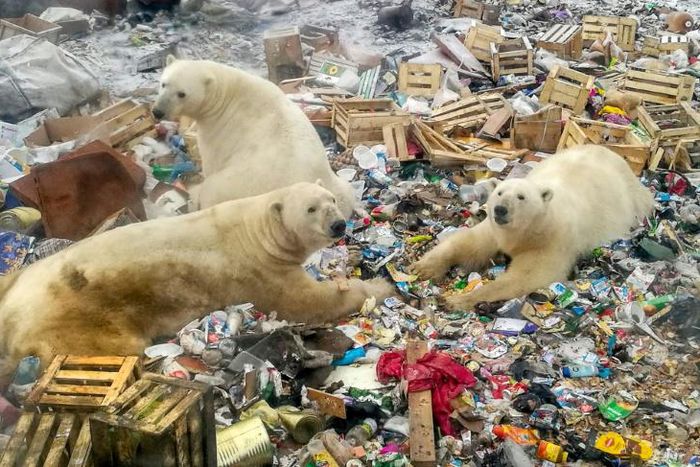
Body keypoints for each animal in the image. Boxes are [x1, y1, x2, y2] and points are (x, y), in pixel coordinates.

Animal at [0, 182, 393, 388]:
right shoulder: (260, 271)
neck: (257, 232)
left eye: (332, 200)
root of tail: (13, 323)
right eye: (311, 209)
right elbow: (307, 301)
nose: (339, 225)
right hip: (79, 320)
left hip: (20, 279)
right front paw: (380, 288)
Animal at [152, 57, 356, 216]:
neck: (226, 92)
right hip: (337, 184)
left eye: (182, 94)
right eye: (163, 83)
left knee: (213, 190)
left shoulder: (219, 128)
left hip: (237, 186)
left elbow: (211, 162)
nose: (158, 111)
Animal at [412, 145, 654, 311]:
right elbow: (467, 244)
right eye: (499, 192)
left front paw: (456, 300)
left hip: (633, 200)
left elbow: (526, 277)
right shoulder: (494, 230)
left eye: (521, 197)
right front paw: (423, 268)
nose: (500, 210)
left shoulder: (551, 241)